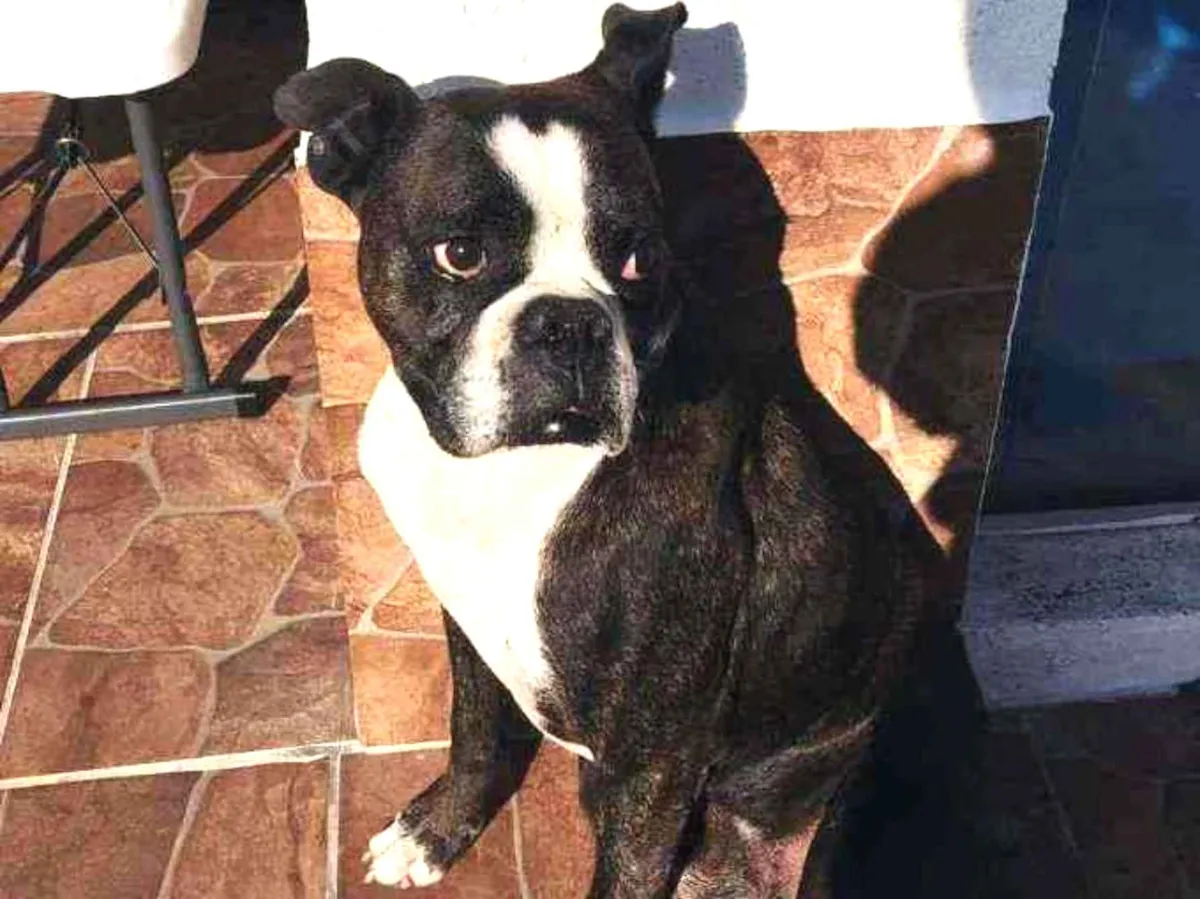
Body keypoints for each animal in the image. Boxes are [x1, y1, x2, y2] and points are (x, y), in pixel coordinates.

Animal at [275, 5, 927, 895]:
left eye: (639, 257)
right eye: (460, 253)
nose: (569, 321)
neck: (518, 471)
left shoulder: (657, 755)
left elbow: (622, 865)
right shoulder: (466, 621)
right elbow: (475, 728)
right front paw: (436, 831)